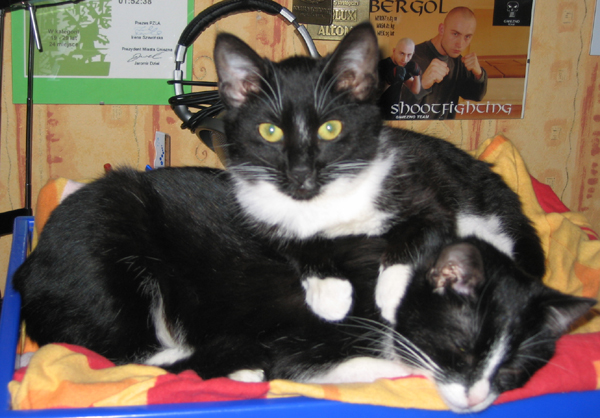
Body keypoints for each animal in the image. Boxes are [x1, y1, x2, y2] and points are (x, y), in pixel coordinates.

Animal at [213, 22, 547, 323]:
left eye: (330, 128)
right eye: (269, 131)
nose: (300, 172)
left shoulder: (419, 194)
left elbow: (418, 233)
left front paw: (392, 293)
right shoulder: (261, 216)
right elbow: (297, 245)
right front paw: (329, 292)